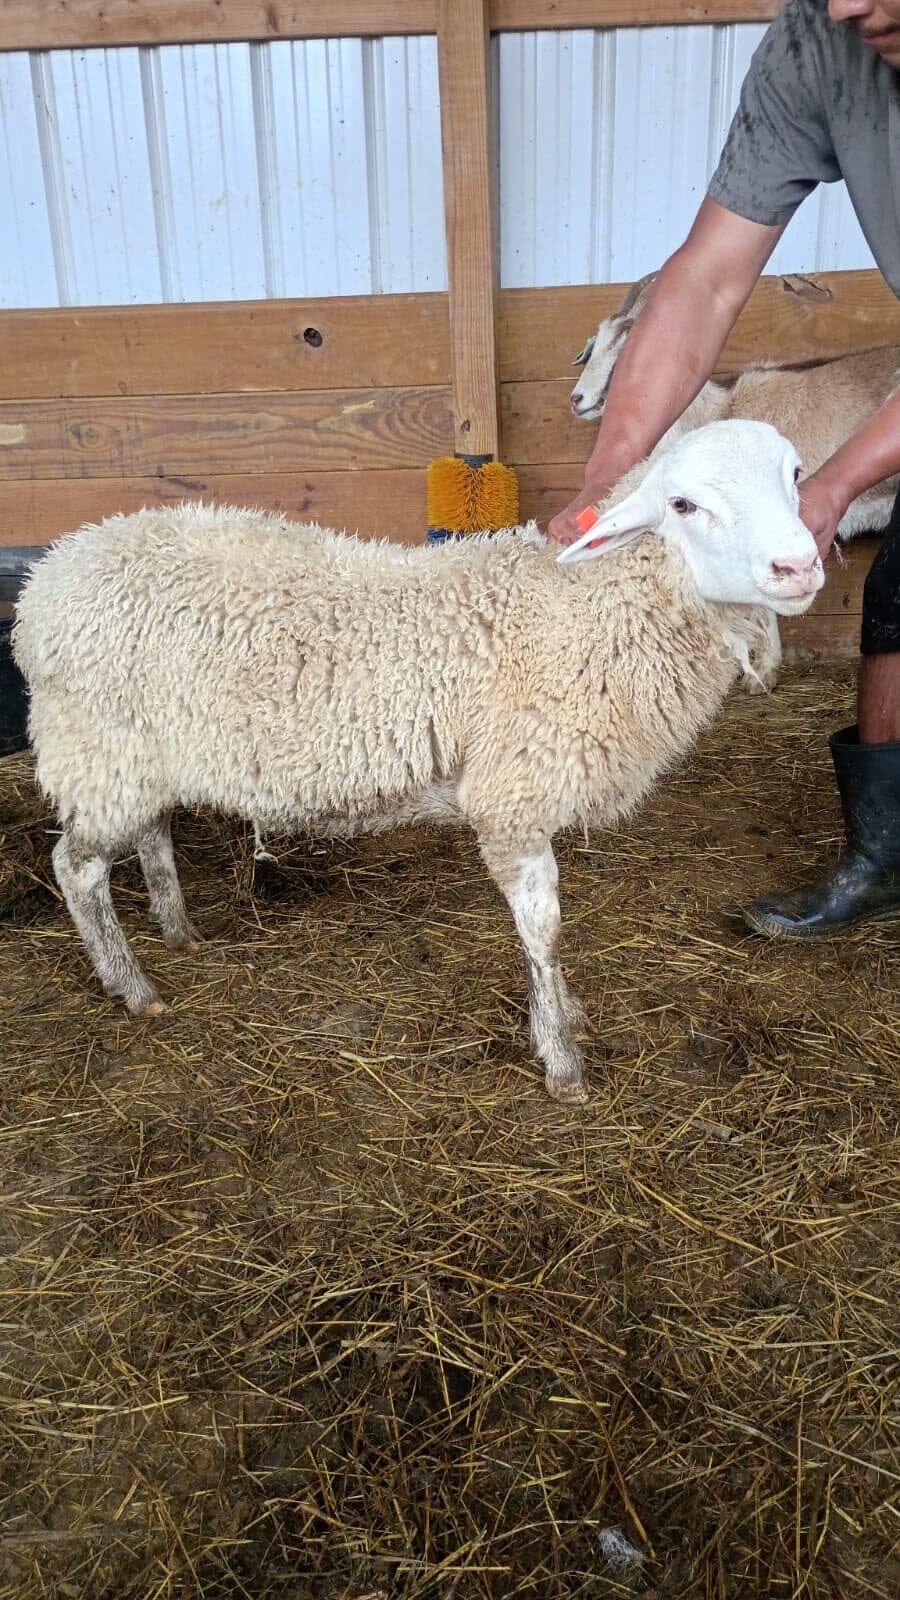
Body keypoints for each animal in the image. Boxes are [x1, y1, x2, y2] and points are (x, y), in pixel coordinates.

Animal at [13, 419, 822, 1104]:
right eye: (683, 504)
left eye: (796, 475)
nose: (799, 565)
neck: (580, 611)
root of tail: (46, 582)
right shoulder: (511, 798)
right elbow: (545, 930)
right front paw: (561, 1058)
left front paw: (565, 1014)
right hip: (99, 748)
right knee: (76, 868)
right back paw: (131, 985)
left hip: (140, 752)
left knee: (148, 833)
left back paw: (177, 929)